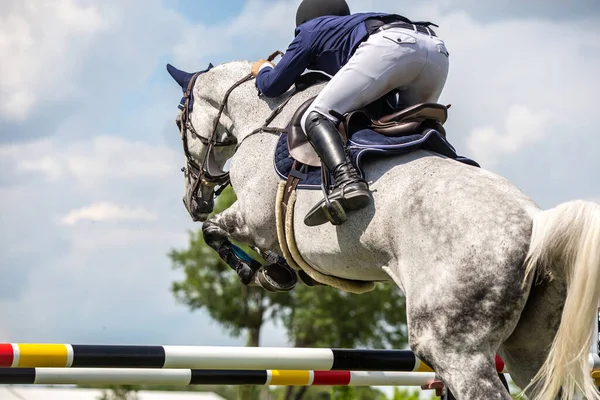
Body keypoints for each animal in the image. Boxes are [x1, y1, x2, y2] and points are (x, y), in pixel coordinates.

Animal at [165, 59, 600, 400]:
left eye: (178, 121)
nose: (193, 200)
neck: (263, 120)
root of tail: (538, 223)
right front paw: (275, 269)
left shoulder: (253, 218)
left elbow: (214, 232)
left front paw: (265, 273)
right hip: (533, 348)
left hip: (454, 348)